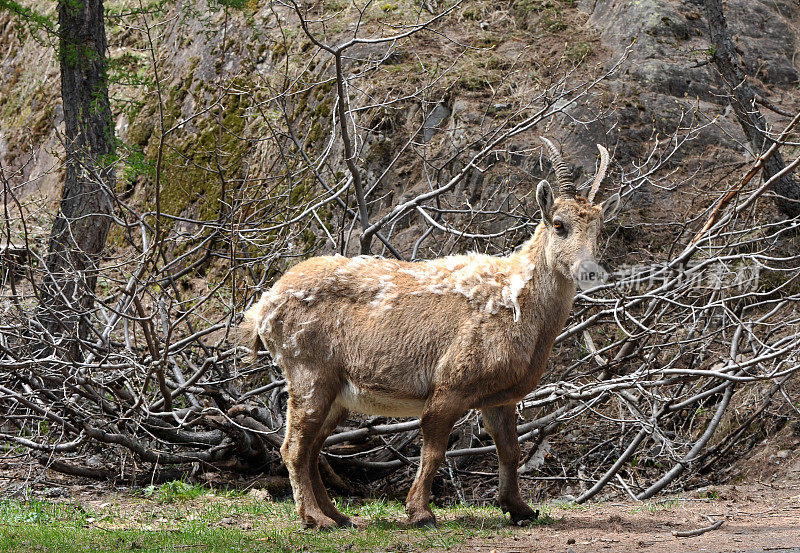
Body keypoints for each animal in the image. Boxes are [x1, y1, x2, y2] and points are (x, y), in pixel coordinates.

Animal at [241, 138, 620, 528]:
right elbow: (435, 451)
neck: (516, 299)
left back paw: (339, 515)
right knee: (294, 447)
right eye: (559, 224)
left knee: (314, 446)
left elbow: (510, 450)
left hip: (336, 393)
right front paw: (420, 512)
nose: (590, 271)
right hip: (309, 375)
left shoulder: (498, 398)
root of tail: (264, 307)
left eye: (600, 228)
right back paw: (315, 518)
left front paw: (519, 508)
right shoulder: (450, 387)